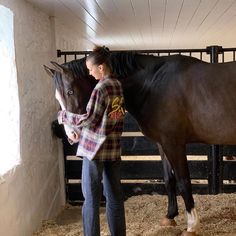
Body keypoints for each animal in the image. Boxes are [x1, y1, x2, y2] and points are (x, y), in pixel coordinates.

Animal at [43, 52, 236, 236]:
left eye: (69, 91)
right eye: (57, 97)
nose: (72, 135)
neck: (153, 85)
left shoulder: (174, 143)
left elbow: (184, 182)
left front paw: (192, 226)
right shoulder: (162, 143)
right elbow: (169, 179)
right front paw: (170, 216)